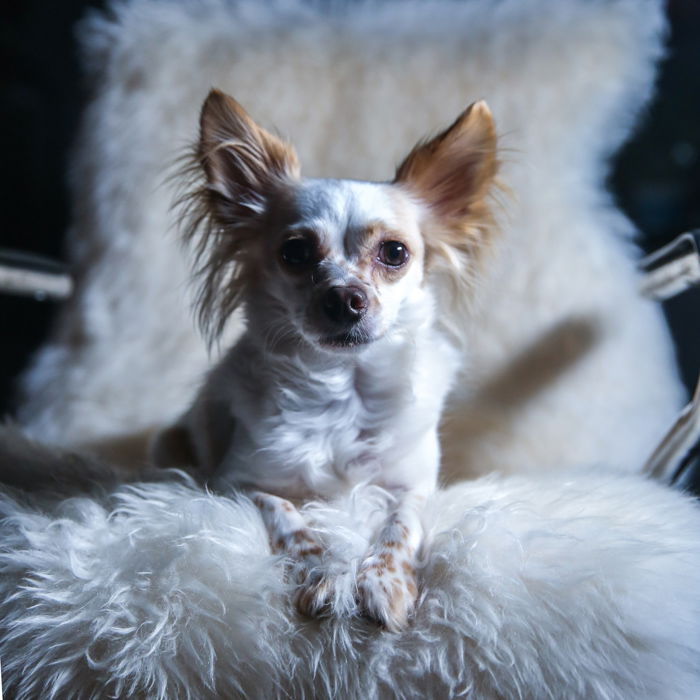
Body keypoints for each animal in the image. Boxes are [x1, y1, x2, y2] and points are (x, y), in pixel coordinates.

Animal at [156, 90, 500, 632]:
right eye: (295, 252)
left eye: (395, 252)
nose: (344, 298)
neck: (345, 390)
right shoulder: (238, 483)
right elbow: (292, 522)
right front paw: (329, 575)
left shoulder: (413, 485)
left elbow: (400, 526)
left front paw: (384, 583)